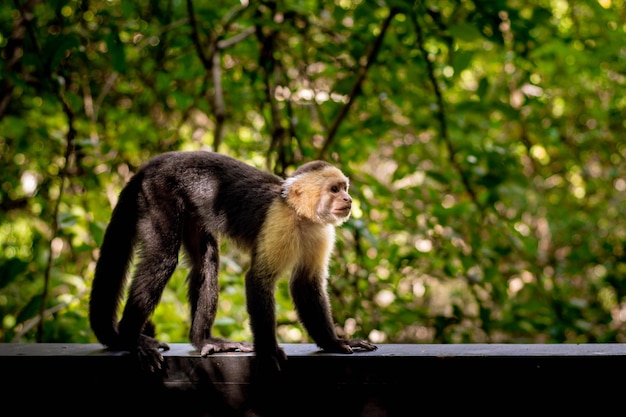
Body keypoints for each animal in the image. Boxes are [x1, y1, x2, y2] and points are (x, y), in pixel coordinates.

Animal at [89, 151, 376, 372]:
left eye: (344, 188)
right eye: (334, 189)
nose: (348, 199)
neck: (300, 215)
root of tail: (150, 165)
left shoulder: (320, 232)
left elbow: (306, 284)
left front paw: (335, 342)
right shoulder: (278, 221)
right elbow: (259, 279)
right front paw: (268, 351)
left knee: (206, 260)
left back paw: (204, 340)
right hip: (158, 194)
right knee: (163, 258)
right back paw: (131, 340)